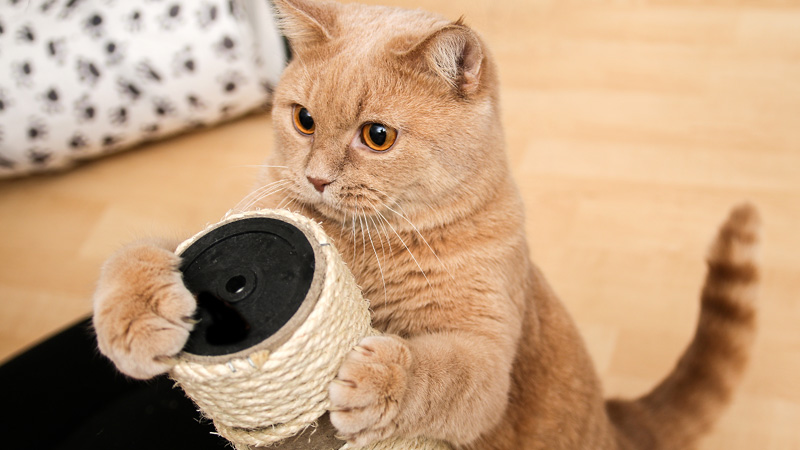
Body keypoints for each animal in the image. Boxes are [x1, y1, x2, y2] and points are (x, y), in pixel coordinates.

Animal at [90, 1, 760, 448]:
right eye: (303, 120)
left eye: (376, 136)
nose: (316, 178)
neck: (361, 247)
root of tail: (617, 422)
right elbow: (140, 253)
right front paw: (136, 313)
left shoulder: (485, 358)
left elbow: (444, 374)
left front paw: (378, 378)